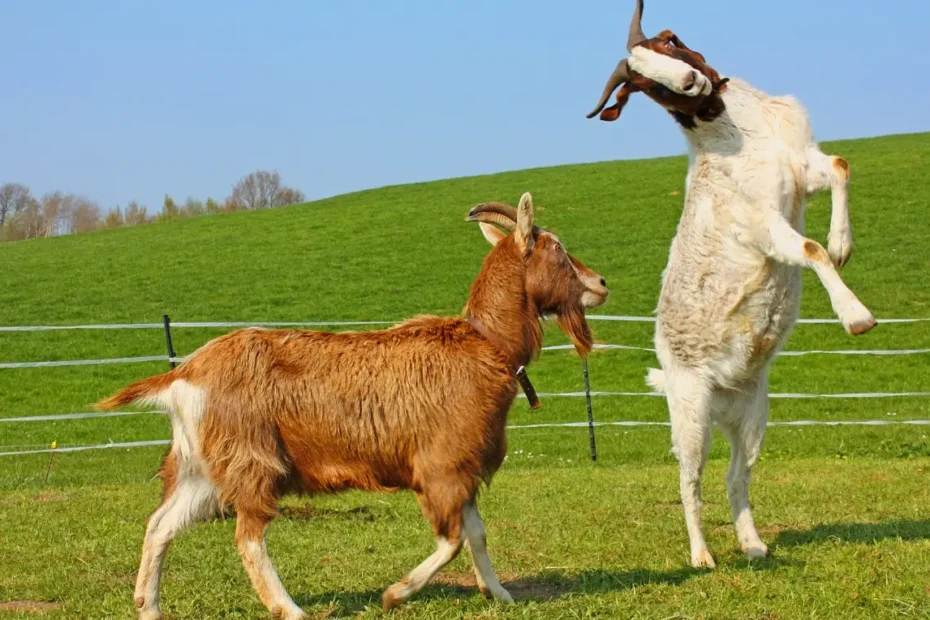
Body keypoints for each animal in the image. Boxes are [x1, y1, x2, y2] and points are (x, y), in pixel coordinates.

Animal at [98, 191, 608, 616]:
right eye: (557, 248)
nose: (601, 283)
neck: (486, 345)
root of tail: (184, 373)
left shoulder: (464, 466)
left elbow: (476, 534)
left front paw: (499, 593)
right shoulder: (440, 465)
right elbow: (451, 541)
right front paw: (395, 593)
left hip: (200, 466)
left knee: (160, 525)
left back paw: (148, 607)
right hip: (251, 458)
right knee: (247, 537)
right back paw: (290, 609)